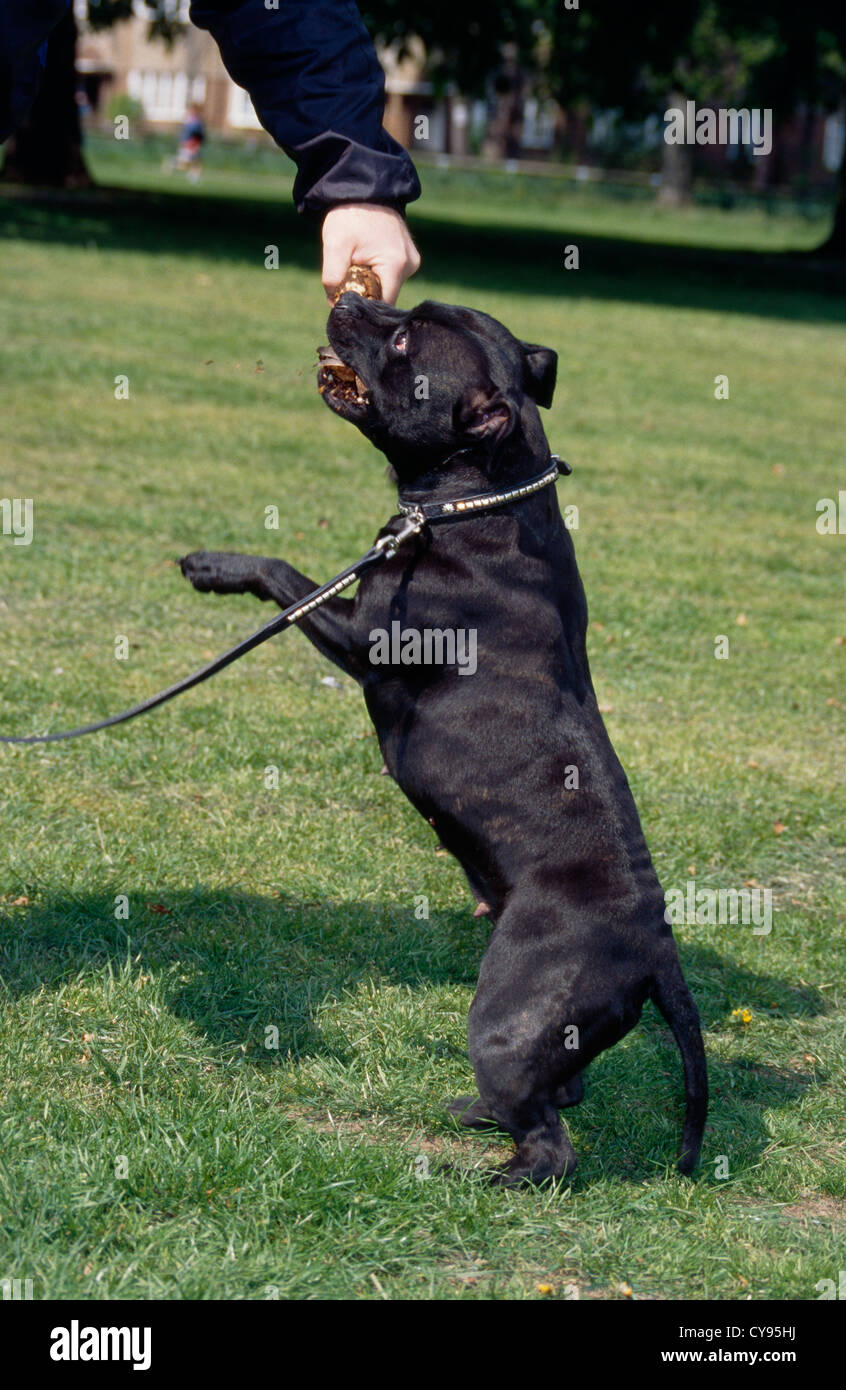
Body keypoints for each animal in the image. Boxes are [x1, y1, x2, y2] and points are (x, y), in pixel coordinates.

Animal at [181, 293, 708, 1184]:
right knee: (561, 1088)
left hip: (505, 1019)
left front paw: (218, 565)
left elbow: (287, 578)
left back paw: (498, 1176)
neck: (477, 500)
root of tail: (657, 947)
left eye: (401, 340)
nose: (351, 297)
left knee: (554, 1142)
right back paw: (480, 1119)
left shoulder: (364, 641)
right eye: (408, 307)